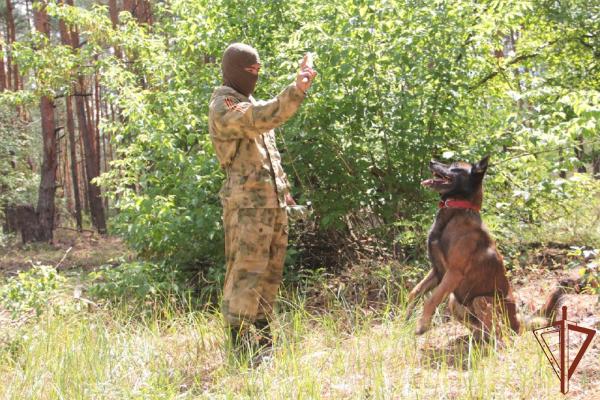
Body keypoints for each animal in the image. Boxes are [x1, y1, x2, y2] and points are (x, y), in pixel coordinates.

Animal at [406, 156, 564, 338]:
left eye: (455, 166)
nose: (431, 161)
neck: (456, 211)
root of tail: (517, 323)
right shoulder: (437, 271)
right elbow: (415, 292)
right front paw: (405, 316)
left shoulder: (453, 273)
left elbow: (432, 299)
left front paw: (422, 326)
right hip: (455, 301)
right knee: (482, 330)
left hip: (481, 300)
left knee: (500, 333)